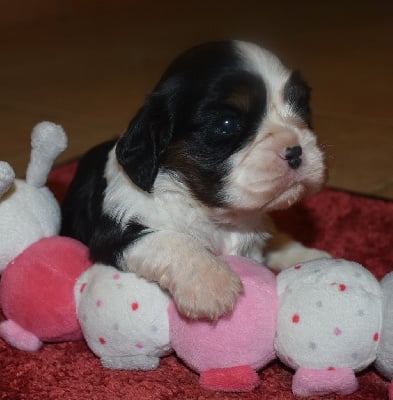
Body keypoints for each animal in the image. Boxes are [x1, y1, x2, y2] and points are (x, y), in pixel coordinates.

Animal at [59, 40, 326, 320]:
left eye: (301, 109)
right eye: (227, 123)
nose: (296, 151)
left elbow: (273, 237)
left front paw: (308, 256)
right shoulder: (116, 234)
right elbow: (171, 240)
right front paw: (213, 285)